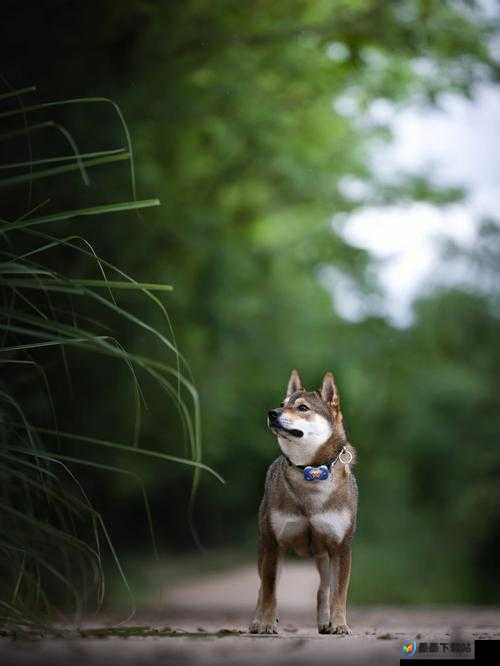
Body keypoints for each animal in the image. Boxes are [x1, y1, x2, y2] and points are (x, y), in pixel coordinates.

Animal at [249, 368, 358, 632]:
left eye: (302, 408)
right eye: (282, 404)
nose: (272, 413)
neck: (312, 471)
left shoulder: (341, 547)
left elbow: (339, 594)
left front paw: (339, 624)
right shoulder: (273, 544)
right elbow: (269, 592)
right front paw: (266, 623)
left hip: (324, 557)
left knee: (323, 590)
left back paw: (325, 622)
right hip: (265, 549)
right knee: (263, 588)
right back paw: (257, 620)